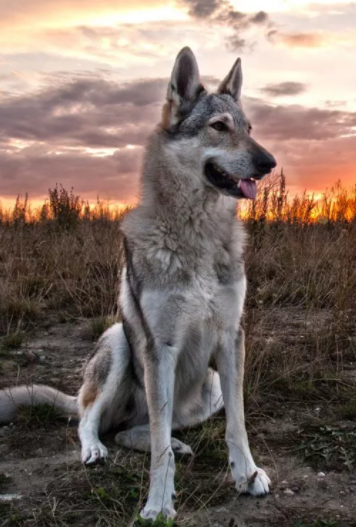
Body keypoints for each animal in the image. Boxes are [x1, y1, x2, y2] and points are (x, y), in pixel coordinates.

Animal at [0, 48, 276, 520]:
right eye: (219, 127)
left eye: (249, 129)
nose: (269, 163)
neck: (196, 235)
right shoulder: (158, 347)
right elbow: (158, 449)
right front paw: (158, 505)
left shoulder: (230, 337)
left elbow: (236, 426)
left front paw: (248, 475)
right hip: (119, 344)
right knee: (92, 421)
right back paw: (95, 450)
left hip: (208, 390)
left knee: (138, 430)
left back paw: (177, 443)